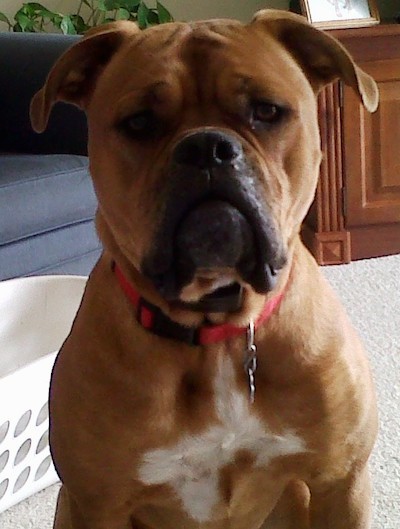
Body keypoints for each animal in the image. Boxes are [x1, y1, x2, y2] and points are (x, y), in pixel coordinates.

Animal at [31, 9, 378, 528]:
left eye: (267, 111)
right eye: (139, 122)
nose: (207, 147)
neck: (216, 330)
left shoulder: (341, 482)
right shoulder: (98, 504)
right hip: (66, 507)